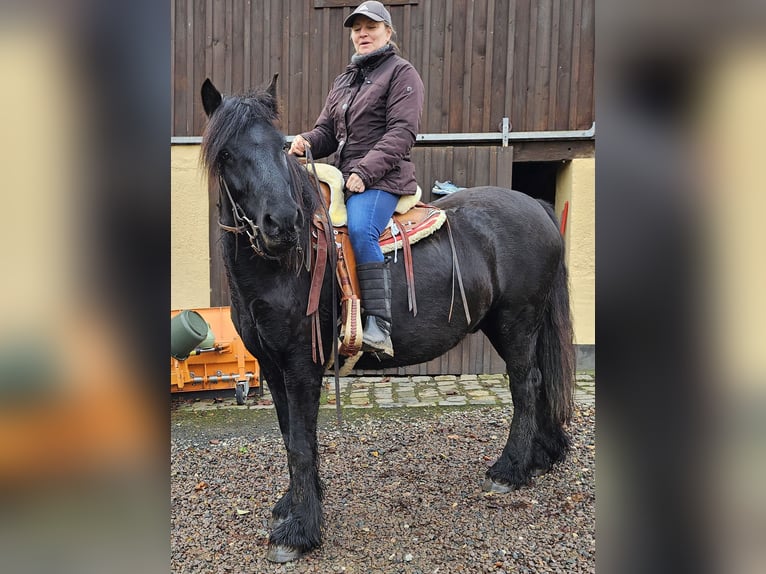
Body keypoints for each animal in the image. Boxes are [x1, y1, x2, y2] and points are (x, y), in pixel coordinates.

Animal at [200, 76, 576, 564]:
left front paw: (299, 531)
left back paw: (509, 469)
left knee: (526, 385)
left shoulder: (302, 365)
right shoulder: (272, 365)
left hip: (517, 322)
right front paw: (293, 504)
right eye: (227, 153)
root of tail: (537, 207)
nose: (281, 223)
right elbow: (289, 435)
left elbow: (301, 442)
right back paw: (542, 456)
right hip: (509, 324)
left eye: (281, 146)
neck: (285, 267)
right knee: (541, 381)